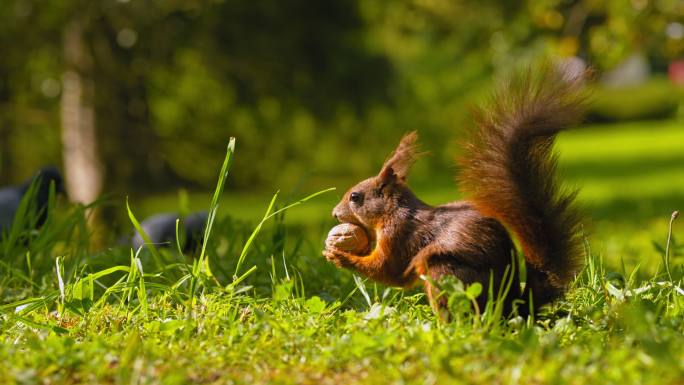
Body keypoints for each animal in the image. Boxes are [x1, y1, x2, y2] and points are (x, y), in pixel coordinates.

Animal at [322, 63, 588, 316]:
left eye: (355, 197)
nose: (334, 214)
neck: (392, 210)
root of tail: (513, 306)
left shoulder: (398, 235)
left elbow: (387, 270)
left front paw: (339, 256)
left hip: (445, 273)